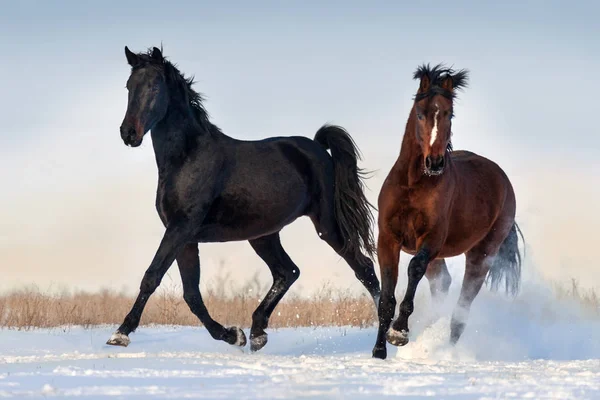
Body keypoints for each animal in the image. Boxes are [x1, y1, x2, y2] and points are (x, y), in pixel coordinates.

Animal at [108, 47, 380, 350]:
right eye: (129, 86)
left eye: (155, 86)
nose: (129, 133)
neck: (187, 158)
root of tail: (319, 148)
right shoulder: (185, 237)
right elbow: (192, 295)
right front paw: (232, 335)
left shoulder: (181, 228)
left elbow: (152, 276)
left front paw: (120, 333)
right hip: (263, 235)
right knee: (288, 272)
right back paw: (257, 332)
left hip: (327, 225)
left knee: (364, 269)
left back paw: (388, 336)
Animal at [372, 65, 524, 360]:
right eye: (421, 113)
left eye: (449, 113)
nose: (435, 162)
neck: (413, 184)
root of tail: (503, 180)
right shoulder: (388, 239)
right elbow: (386, 295)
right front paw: (378, 351)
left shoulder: (431, 239)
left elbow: (413, 269)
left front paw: (399, 333)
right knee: (442, 285)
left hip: (481, 255)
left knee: (462, 308)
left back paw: (446, 352)